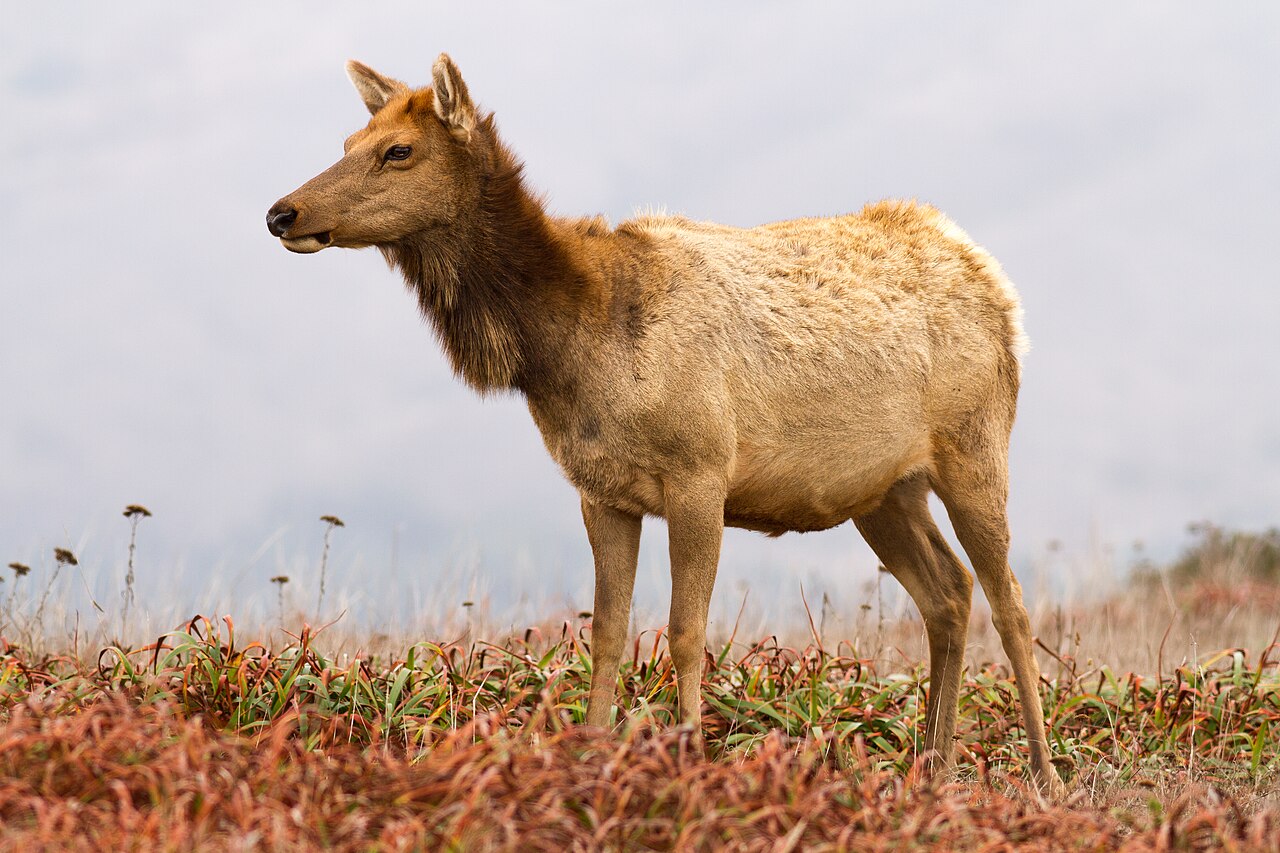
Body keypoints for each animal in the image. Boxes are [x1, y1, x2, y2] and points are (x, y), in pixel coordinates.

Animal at [266, 53, 1062, 793]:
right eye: (348, 138)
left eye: (398, 151)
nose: (282, 213)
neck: (571, 348)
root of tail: (993, 281)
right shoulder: (602, 492)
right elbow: (608, 633)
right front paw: (591, 754)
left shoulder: (701, 472)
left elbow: (685, 632)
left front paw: (691, 759)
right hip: (883, 490)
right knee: (949, 593)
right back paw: (936, 766)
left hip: (976, 447)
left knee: (1013, 605)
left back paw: (1044, 774)